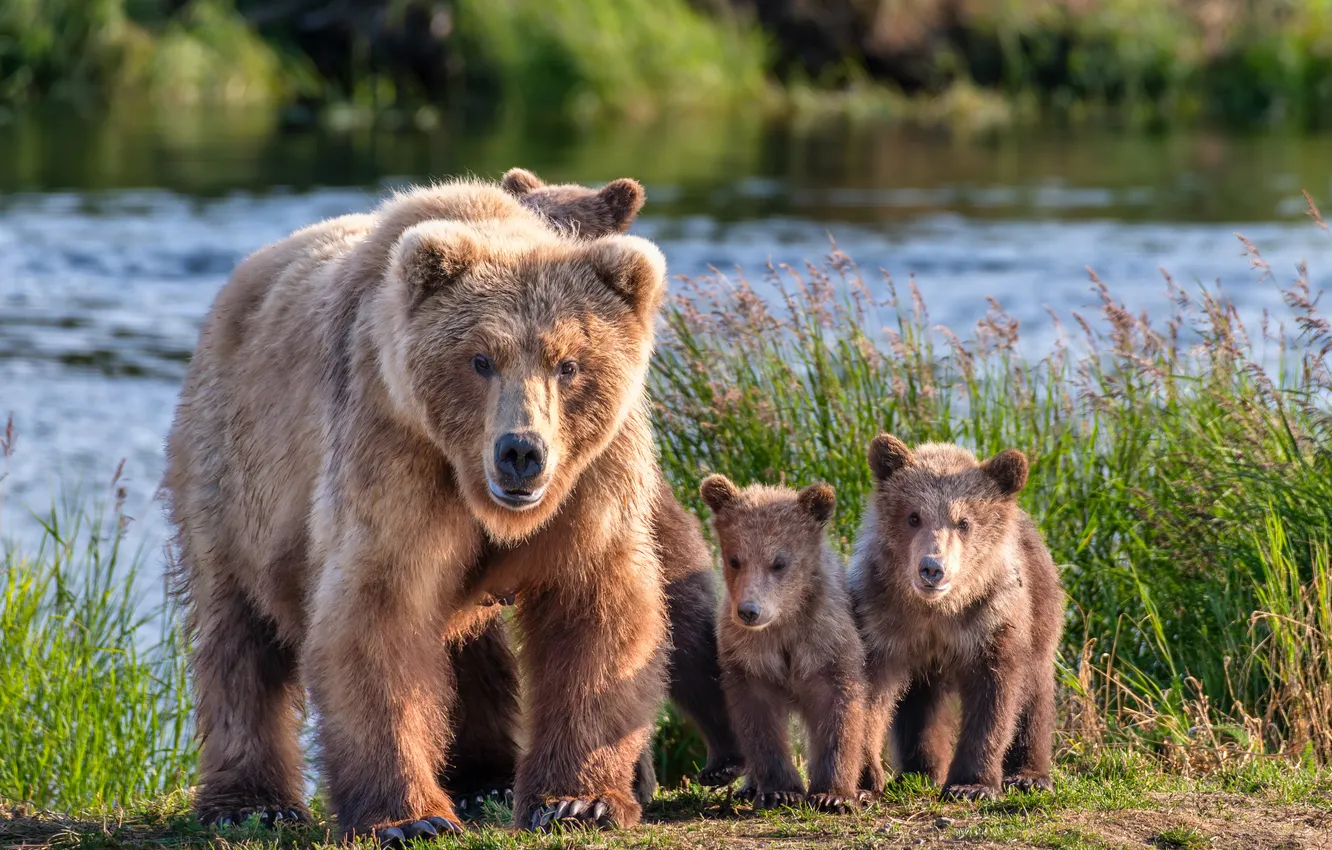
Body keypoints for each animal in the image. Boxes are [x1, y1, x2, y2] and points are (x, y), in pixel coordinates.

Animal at [164, 177, 676, 841]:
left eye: (569, 364)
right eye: (481, 360)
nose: (520, 453)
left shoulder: (592, 477)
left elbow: (595, 609)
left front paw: (575, 800)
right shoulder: (394, 450)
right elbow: (380, 614)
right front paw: (411, 819)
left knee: (471, 646)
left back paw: (488, 777)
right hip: (233, 475)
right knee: (239, 633)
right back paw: (252, 801)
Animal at [700, 474, 868, 814]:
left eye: (779, 562)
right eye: (735, 559)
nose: (749, 611)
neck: (784, 622)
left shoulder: (824, 642)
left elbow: (839, 709)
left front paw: (834, 794)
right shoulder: (749, 655)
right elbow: (759, 722)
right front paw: (780, 791)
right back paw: (748, 787)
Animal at [849, 435, 1063, 801]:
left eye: (964, 522)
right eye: (913, 517)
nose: (932, 568)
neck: (938, 611)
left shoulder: (989, 621)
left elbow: (995, 696)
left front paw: (972, 784)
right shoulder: (879, 619)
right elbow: (868, 693)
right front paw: (863, 781)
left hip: (1041, 604)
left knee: (1034, 686)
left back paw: (1028, 775)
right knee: (920, 704)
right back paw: (919, 771)